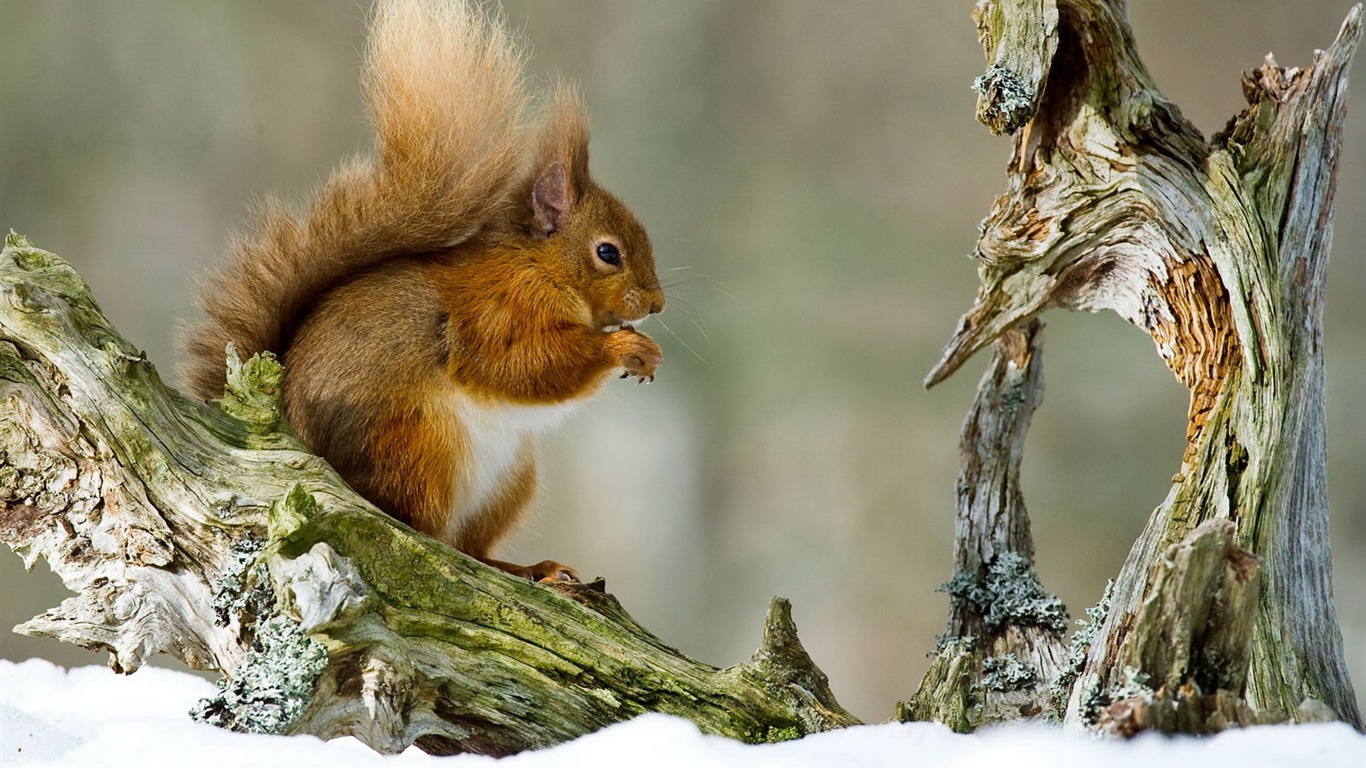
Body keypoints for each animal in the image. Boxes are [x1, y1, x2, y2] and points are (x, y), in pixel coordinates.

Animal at [176, 0, 666, 576]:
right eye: (608, 253)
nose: (656, 304)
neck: (537, 265)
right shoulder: (493, 311)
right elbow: (522, 364)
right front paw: (626, 346)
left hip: (510, 477)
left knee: (469, 547)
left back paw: (530, 570)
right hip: (419, 447)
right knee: (424, 531)